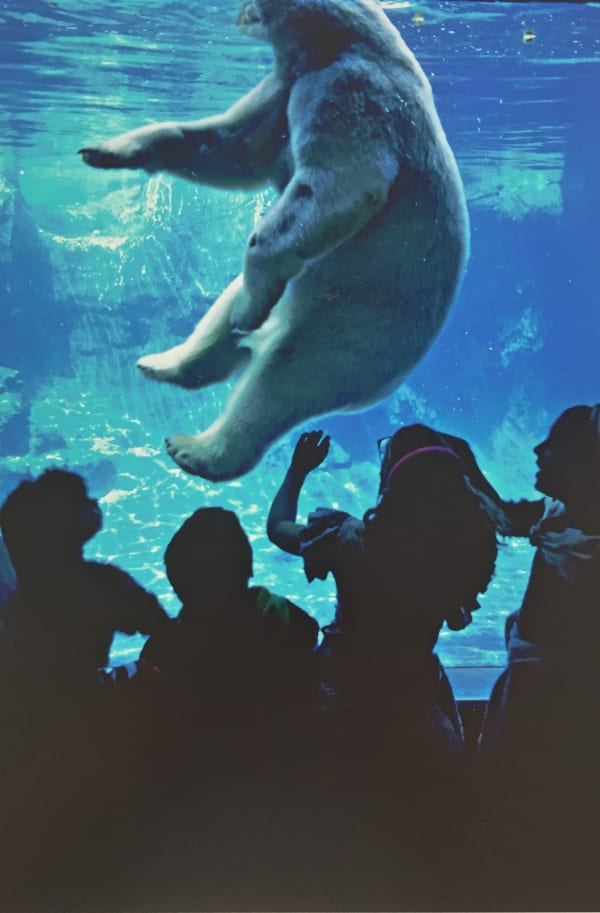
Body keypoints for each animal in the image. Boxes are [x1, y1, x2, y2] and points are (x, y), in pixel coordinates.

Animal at [80, 0, 469, 482]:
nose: (235, 14)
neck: (345, 40)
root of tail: (385, 387)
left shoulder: (348, 89)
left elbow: (343, 182)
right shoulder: (285, 89)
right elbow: (232, 149)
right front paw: (109, 148)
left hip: (348, 325)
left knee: (278, 383)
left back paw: (195, 447)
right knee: (225, 306)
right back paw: (165, 362)